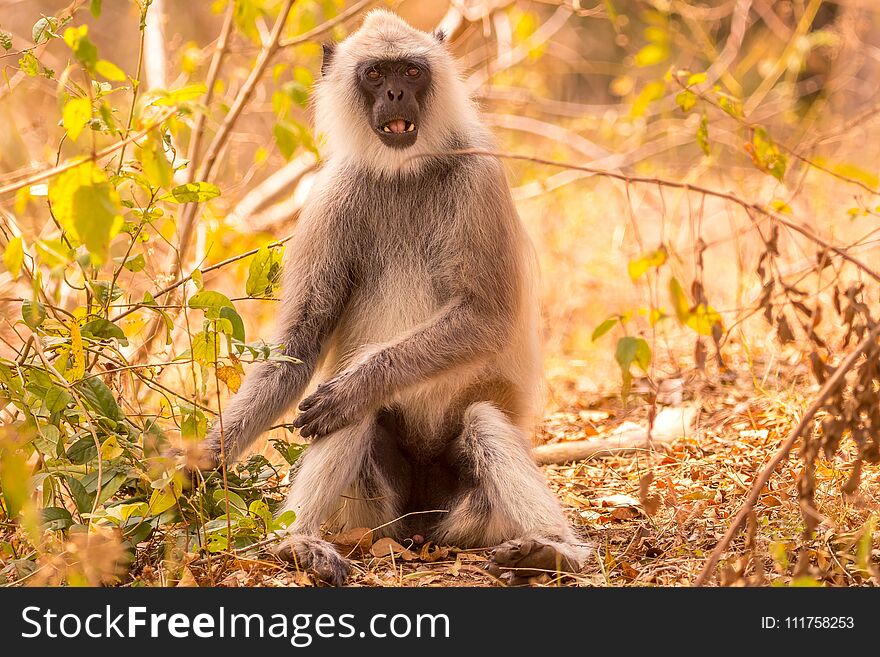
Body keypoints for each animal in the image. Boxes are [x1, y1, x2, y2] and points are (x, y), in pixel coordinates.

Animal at [196, 9, 588, 584]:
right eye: (377, 74)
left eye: (411, 71)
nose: (398, 94)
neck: (403, 172)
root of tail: (420, 529)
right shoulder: (329, 195)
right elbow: (299, 345)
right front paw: (198, 462)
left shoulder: (480, 176)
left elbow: (487, 318)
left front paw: (359, 382)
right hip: (373, 515)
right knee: (352, 416)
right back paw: (297, 543)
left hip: (469, 516)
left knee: (478, 418)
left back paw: (553, 550)